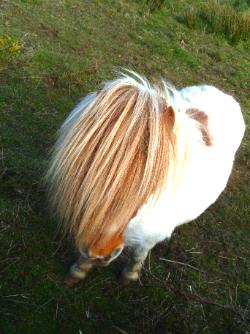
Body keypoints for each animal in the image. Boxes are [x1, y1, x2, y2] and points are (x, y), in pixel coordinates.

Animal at [46, 70, 245, 288]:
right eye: (89, 165)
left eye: (150, 188)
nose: (100, 254)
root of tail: (222, 93)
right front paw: (78, 271)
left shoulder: (150, 238)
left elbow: (138, 255)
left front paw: (129, 276)